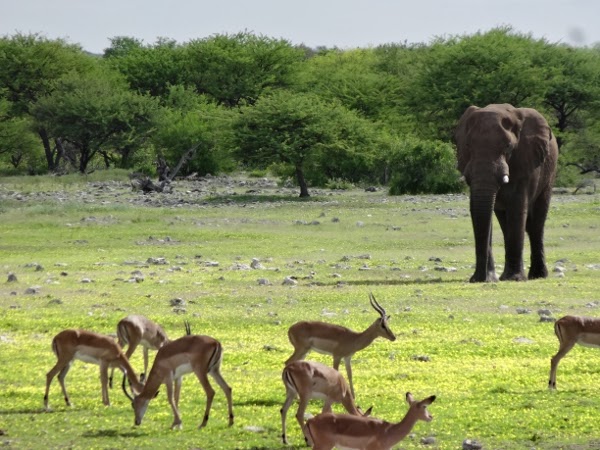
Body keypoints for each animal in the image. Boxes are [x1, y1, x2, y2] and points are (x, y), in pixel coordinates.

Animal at [458, 103, 560, 284]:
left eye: (508, 147)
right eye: (468, 146)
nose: (479, 279)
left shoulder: (525, 161)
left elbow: (517, 208)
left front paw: (514, 279)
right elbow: (481, 210)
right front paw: (491, 278)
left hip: (550, 175)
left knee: (536, 223)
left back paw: (537, 276)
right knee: (506, 222)